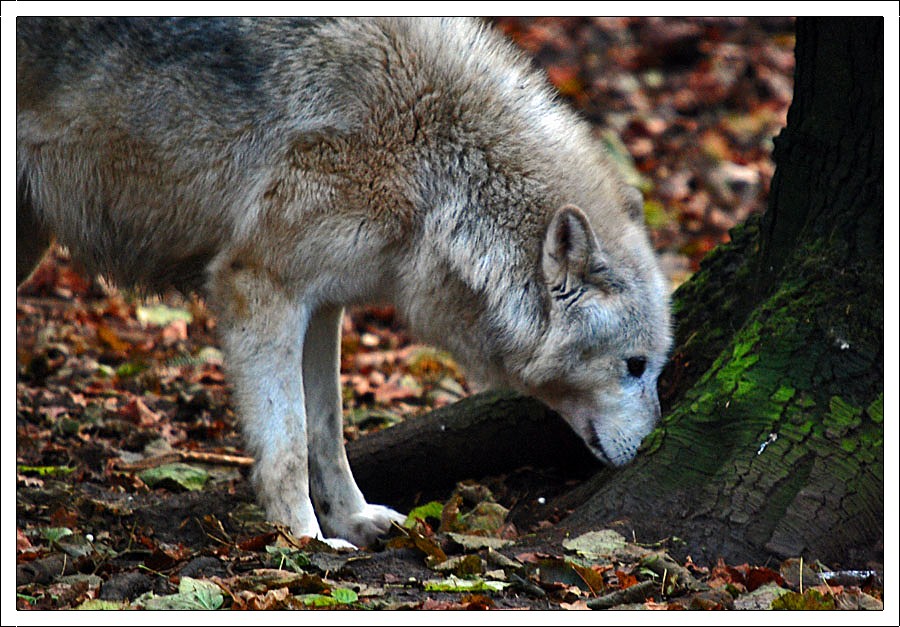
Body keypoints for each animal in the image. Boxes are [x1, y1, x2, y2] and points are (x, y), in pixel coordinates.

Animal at [17, 17, 672, 547]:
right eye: (635, 366)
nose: (652, 447)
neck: (434, 164)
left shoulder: (322, 304)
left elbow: (327, 432)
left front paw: (352, 521)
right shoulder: (258, 288)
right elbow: (286, 443)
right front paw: (306, 543)